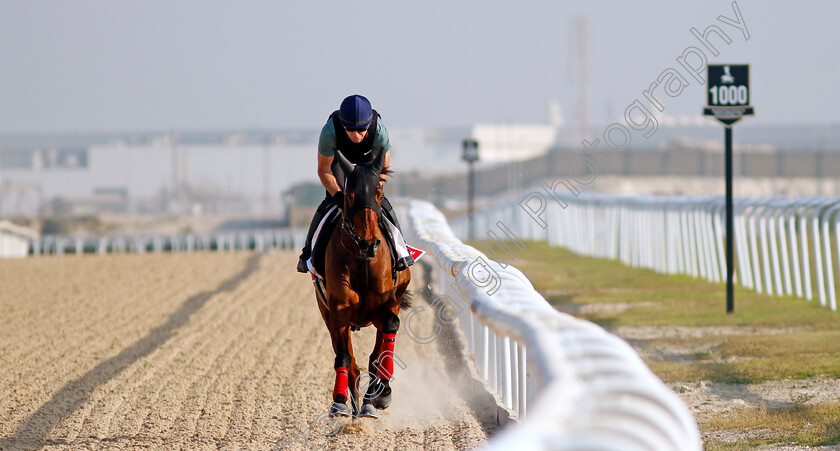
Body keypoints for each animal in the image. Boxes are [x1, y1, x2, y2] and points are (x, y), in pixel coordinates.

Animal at [314, 149, 412, 420]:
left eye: (377, 194)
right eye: (349, 196)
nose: (370, 244)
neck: (362, 261)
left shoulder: (387, 303)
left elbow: (387, 334)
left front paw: (382, 392)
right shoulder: (338, 310)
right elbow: (344, 357)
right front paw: (339, 402)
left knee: (376, 354)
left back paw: (372, 398)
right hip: (326, 312)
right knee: (351, 361)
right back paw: (358, 404)